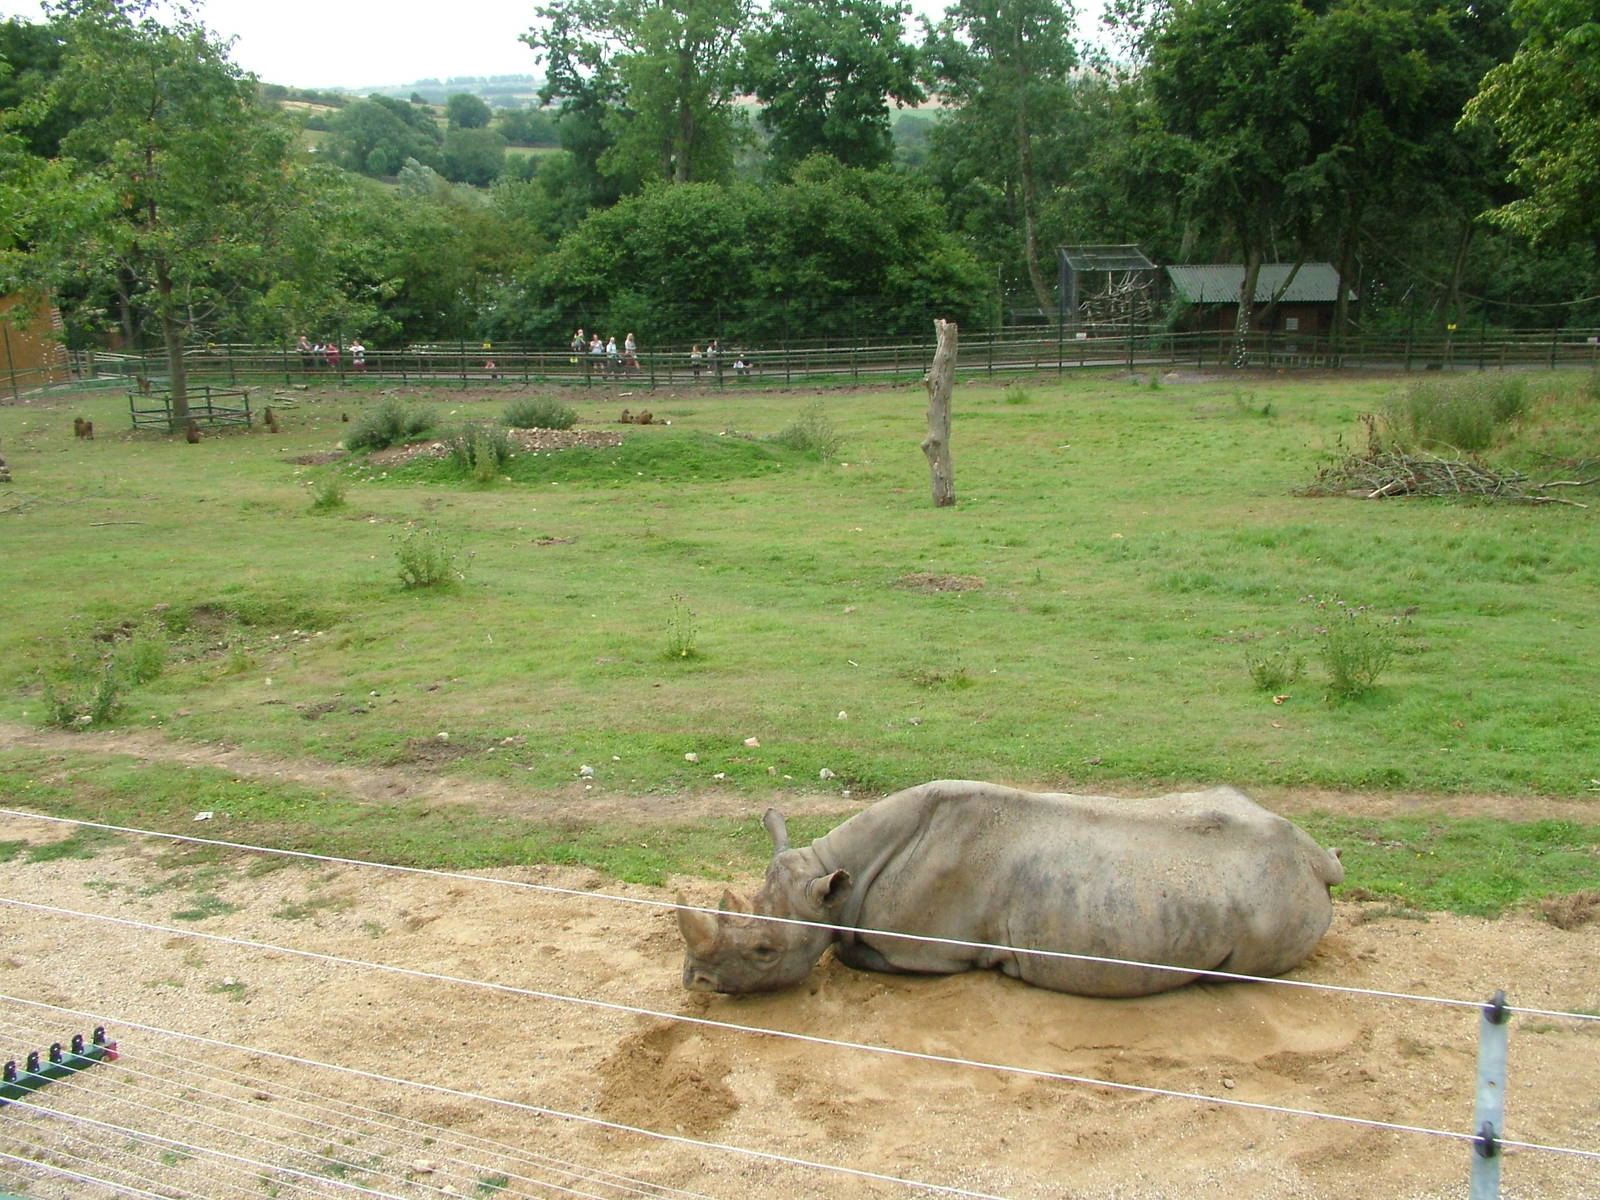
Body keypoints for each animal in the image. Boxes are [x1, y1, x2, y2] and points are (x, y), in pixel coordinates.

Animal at [677, 780, 1343, 998]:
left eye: (766, 952)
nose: (696, 982)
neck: (835, 879)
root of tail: (1316, 858)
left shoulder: (925, 950)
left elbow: (847, 950)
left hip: (1270, 903)